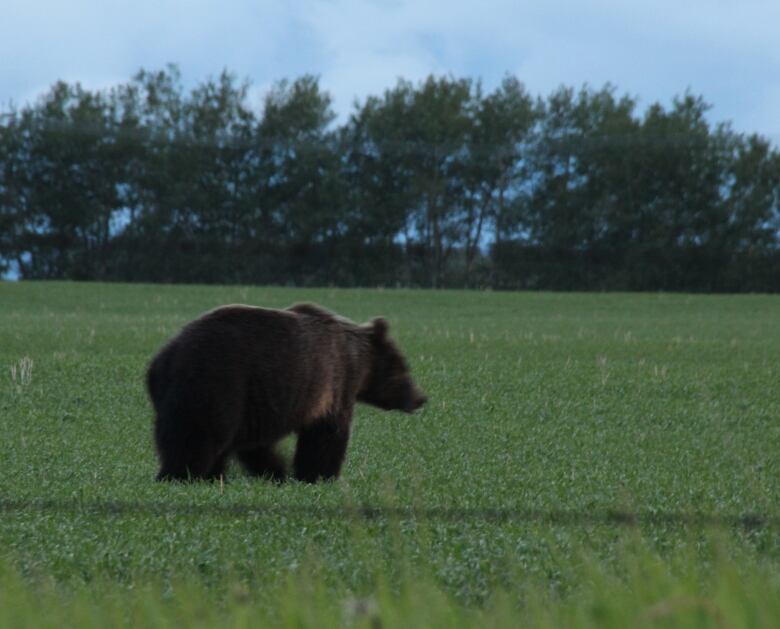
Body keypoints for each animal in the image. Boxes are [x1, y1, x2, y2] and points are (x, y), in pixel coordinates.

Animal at [146, 302, 426, 484]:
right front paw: (319, 475)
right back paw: (180, 475)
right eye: (405, 367)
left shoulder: (258, 403)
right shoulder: (334, 381)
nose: (421, 398)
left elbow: (255, 444)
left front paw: (275, 471)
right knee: (196, 436)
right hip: (214, 383)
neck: (359, 359)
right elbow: (326, 434)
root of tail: (163, 359)